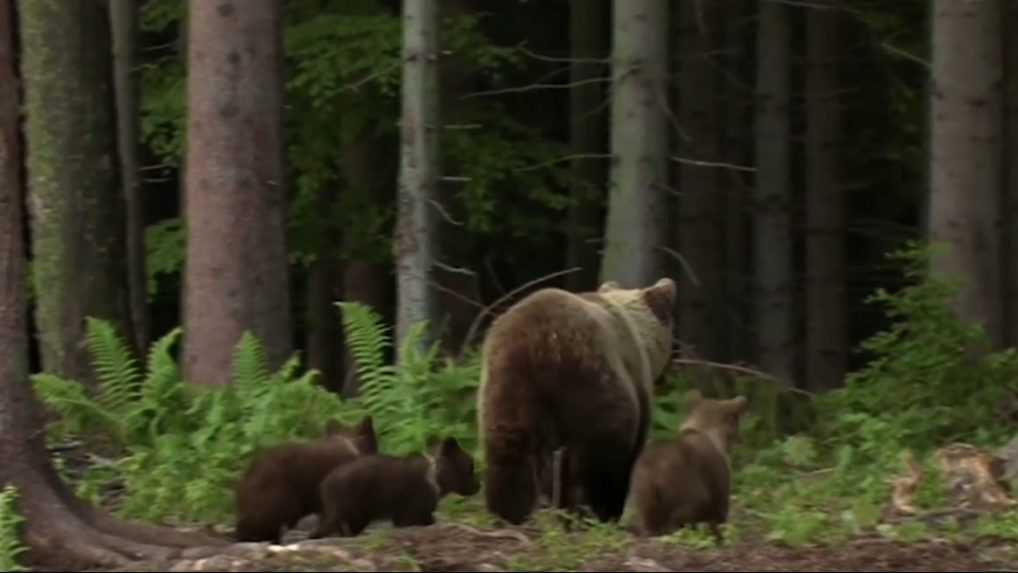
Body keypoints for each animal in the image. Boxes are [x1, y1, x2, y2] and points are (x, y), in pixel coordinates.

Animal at [309, 437, 480, 541]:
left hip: (357, 514)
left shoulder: (420, 512)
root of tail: (325, 482)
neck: (435, 478)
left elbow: (429, 520)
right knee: (325, 528)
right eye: (470, 468)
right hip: (346, 505)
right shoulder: (410, 511)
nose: (479, 486)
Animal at [474, 276, 675, 525]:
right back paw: (591, 513)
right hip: (590, 378)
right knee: (596, 462)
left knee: (507, 452)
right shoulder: (635, 382)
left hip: (506, 383)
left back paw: (508, 514)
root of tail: (542, 343)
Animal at [627, 390, 749, 541]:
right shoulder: (719, 479)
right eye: (736, 422)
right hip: (684, 486)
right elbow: (720, 511)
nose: (742, 440)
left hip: (640, 489)